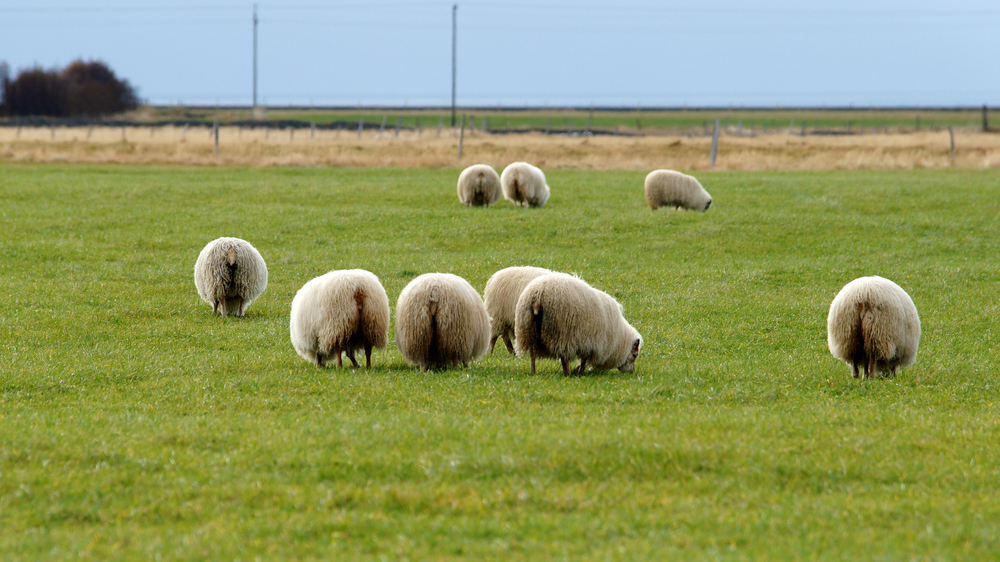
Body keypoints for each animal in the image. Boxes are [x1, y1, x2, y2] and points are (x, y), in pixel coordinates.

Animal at [512, 272, 644, 374]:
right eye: (634, 355)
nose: (631, 372)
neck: (619, 340)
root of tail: (538, 295)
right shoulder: (591, 342)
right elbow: (584, 359)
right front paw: (580, 371)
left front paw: (579, 369)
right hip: (563, 333)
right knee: (564, 357)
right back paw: (567, 373)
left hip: (528, 328)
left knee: (532, 352)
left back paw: (533, 371)